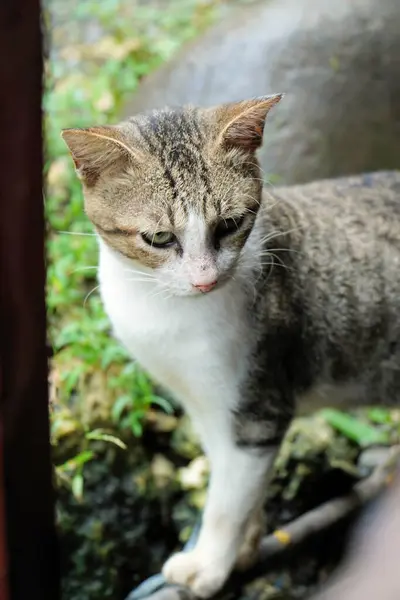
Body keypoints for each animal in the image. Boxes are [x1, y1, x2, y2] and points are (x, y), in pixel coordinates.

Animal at [61, 96, 400, 596]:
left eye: (231, 224)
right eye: (159, 237)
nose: (204, 280)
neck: (164, 312)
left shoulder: (257, 407)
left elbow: (228, 500)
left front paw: (209, 564)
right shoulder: (204, 406)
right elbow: (235, 486)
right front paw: (244, 547)